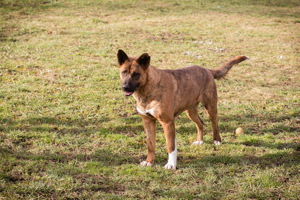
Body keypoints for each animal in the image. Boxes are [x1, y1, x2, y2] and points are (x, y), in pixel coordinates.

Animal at [117, 49, 248, 169]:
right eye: (123, 72)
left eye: (136, 74)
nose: (125, 87)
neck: (148, 88)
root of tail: (208, 70)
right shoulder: (148, 121)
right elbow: (151, 145)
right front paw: (149, 161)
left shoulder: (167, 122)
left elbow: (170, 146)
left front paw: (171, 165)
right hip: (190, 111)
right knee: (200, 123)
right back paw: (200, 141)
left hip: (210, 106)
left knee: (214, 122)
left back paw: (217, 140)